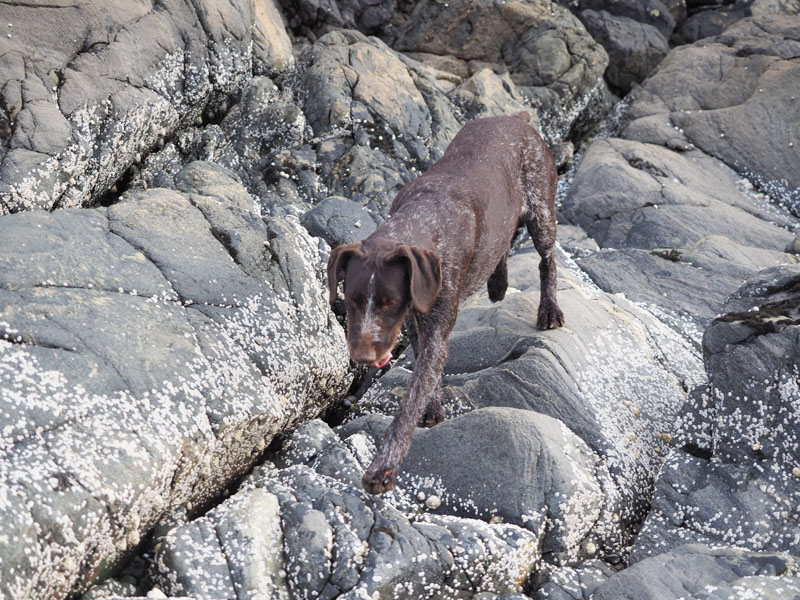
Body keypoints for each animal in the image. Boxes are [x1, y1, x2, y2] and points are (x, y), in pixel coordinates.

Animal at [324, 111, 564, 492]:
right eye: (352, 299)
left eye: (390, 301)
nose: (362, 357)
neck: (420, 221)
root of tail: (517, 118)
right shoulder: (416, 325)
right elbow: (424, 373)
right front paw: (433, 407)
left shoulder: (435, 325)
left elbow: (411, 398)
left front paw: (383, 468)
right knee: (502, 242)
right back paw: (498, 283)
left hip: (542, 213)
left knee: (548, 259)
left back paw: (549, 309)